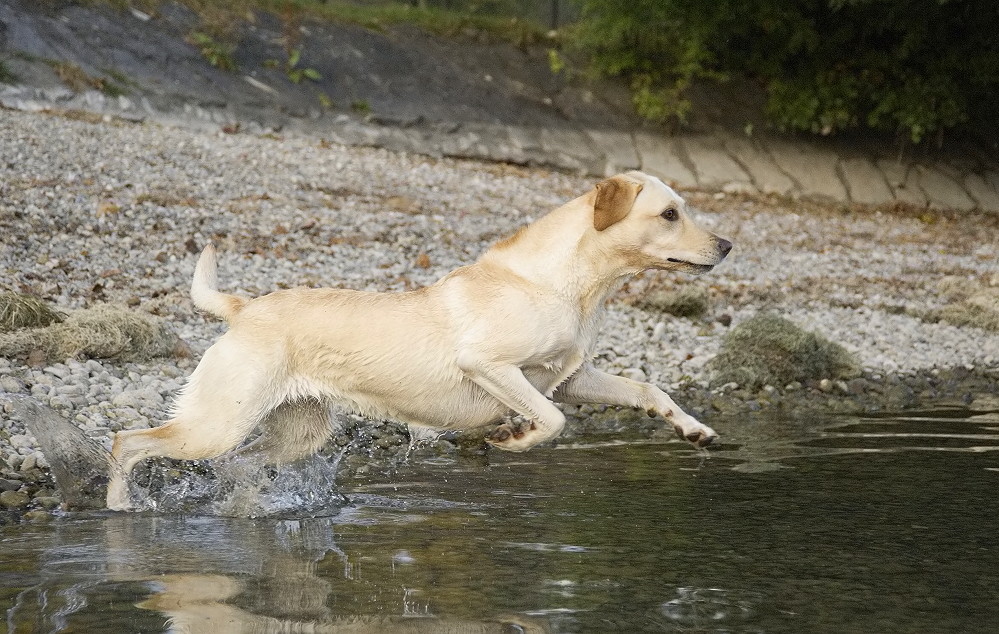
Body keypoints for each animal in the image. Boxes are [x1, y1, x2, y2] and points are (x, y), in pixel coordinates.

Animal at [107, 170, 736, 506]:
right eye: (671, 213)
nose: (728, 245)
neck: (567, 283)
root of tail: (245, 307)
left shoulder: (573, 375)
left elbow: (649, 390)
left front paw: (694, 430)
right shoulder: (490, 365)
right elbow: (554, 421)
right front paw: (512, 438)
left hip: (297, 433)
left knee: (242, 464)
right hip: (216, 423)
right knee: (126, 443)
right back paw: (121, 509)